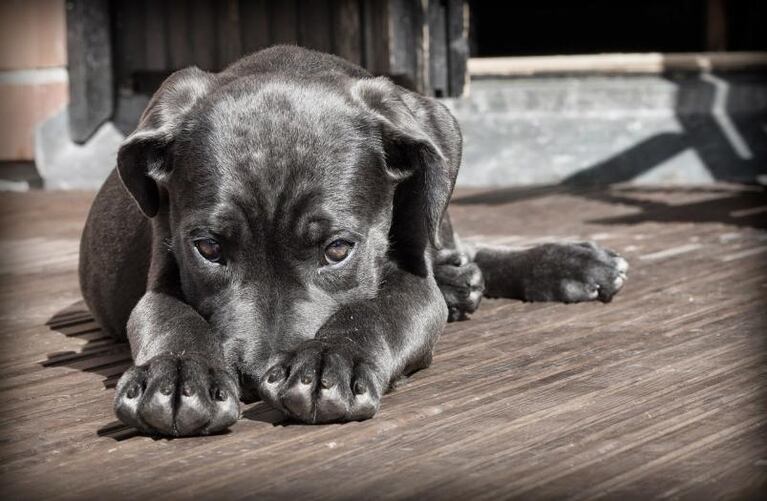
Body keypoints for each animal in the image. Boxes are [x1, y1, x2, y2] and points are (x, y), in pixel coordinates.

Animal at [78, 45, 632, 434]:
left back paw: (564, 264)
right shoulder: (161, 274)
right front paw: (176, 375)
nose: (256, 378)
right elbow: (170, 317)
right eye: (208, 249)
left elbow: (377, 309)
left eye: (338, 249)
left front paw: (330, 360)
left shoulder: (414, 285)